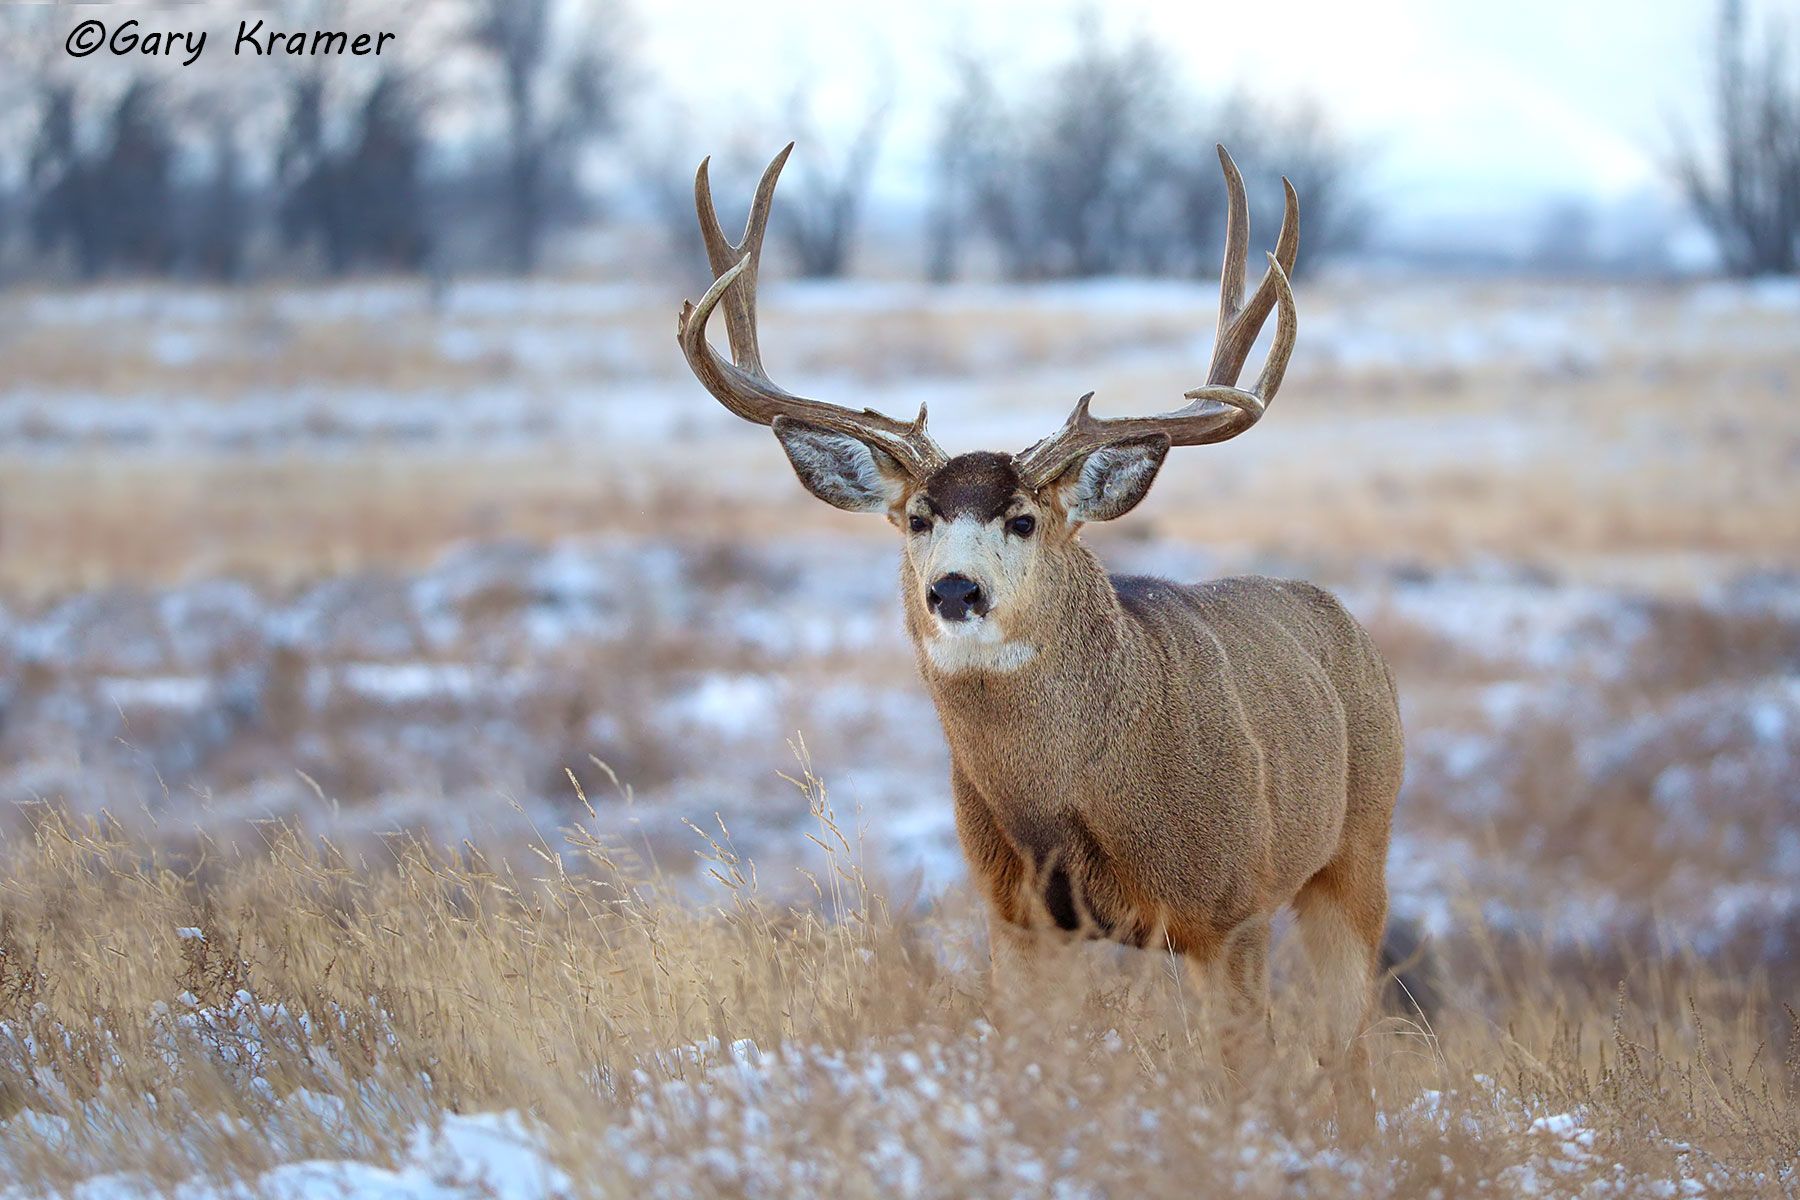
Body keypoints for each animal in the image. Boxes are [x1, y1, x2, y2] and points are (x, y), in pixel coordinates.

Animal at [676, 143, 1404, 1107]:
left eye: (1023, 518)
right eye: (917, 517)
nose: (954, 591)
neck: (1071, 797)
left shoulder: (1230, 906)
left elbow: (1240, 1076)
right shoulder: (1019, 916)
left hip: (1359, 848)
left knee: (1350, 1048)